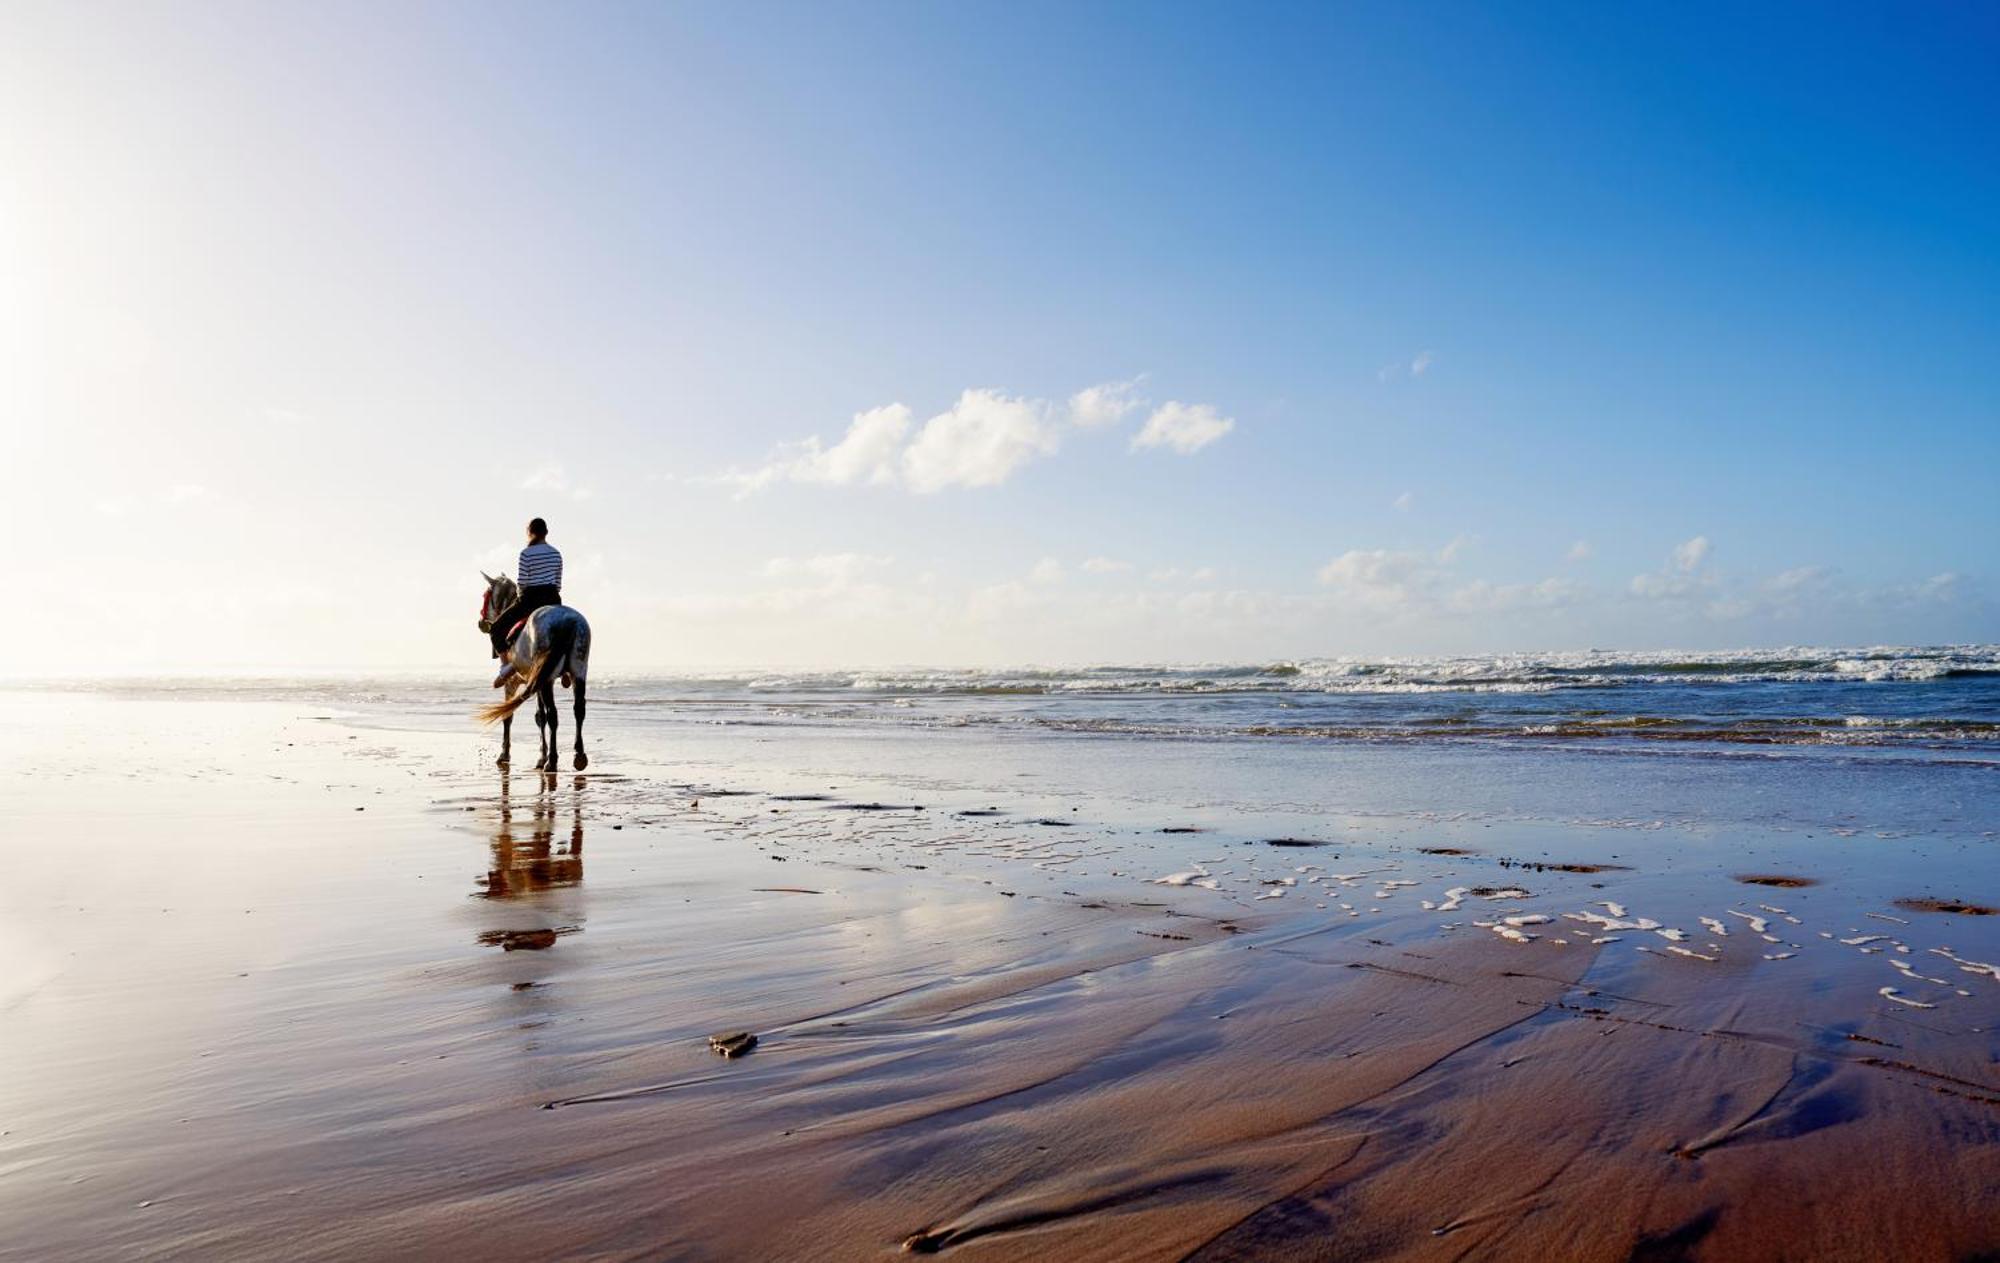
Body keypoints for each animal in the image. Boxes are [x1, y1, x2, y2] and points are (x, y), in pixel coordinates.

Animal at [478, 571, 588, 771]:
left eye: (485, 595)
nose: (481, 622)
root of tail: (567, 621)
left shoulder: (513, 683)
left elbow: (509, 716)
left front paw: (504, 754)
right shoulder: (535, 682)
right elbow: (539, 716)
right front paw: (541, 756)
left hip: (547, 680)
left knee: (553, 714)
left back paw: (552, 761)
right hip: (578, 671)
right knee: (578, 710)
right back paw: (579, 756)